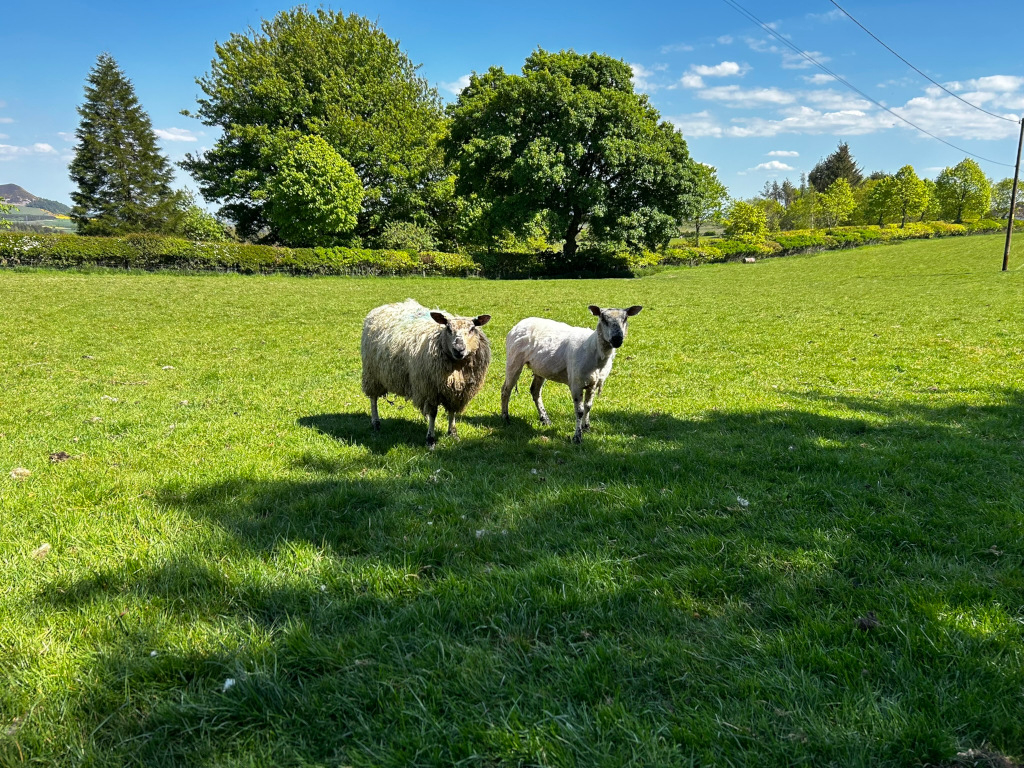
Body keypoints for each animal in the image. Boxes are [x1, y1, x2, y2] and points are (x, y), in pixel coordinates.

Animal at [361, 298, 492, 447]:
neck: (457, 366)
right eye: (448, 328)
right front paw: (430, 439)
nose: (459, 349)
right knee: (373, 398)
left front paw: (452, 433)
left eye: (472, 329)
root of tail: (387, 305)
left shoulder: (456, 391)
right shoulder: (429, 389)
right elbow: (433, 413)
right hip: (372, 374)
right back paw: (376, 423)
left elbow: (452, 411)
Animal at [501, 305, 643, 443]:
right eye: (603, 319)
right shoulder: (576, 383)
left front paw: (586, 427)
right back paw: (505, 418)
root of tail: (521, 323)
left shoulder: (593, 383)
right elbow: (579, 411)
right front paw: (577, 437)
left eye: (625, 319)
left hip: (540, 368)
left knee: (535, 391)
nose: (617, 339)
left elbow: (588, 406)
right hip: (514, 360)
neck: (594, 350)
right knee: (506, 390)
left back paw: (545, 419)